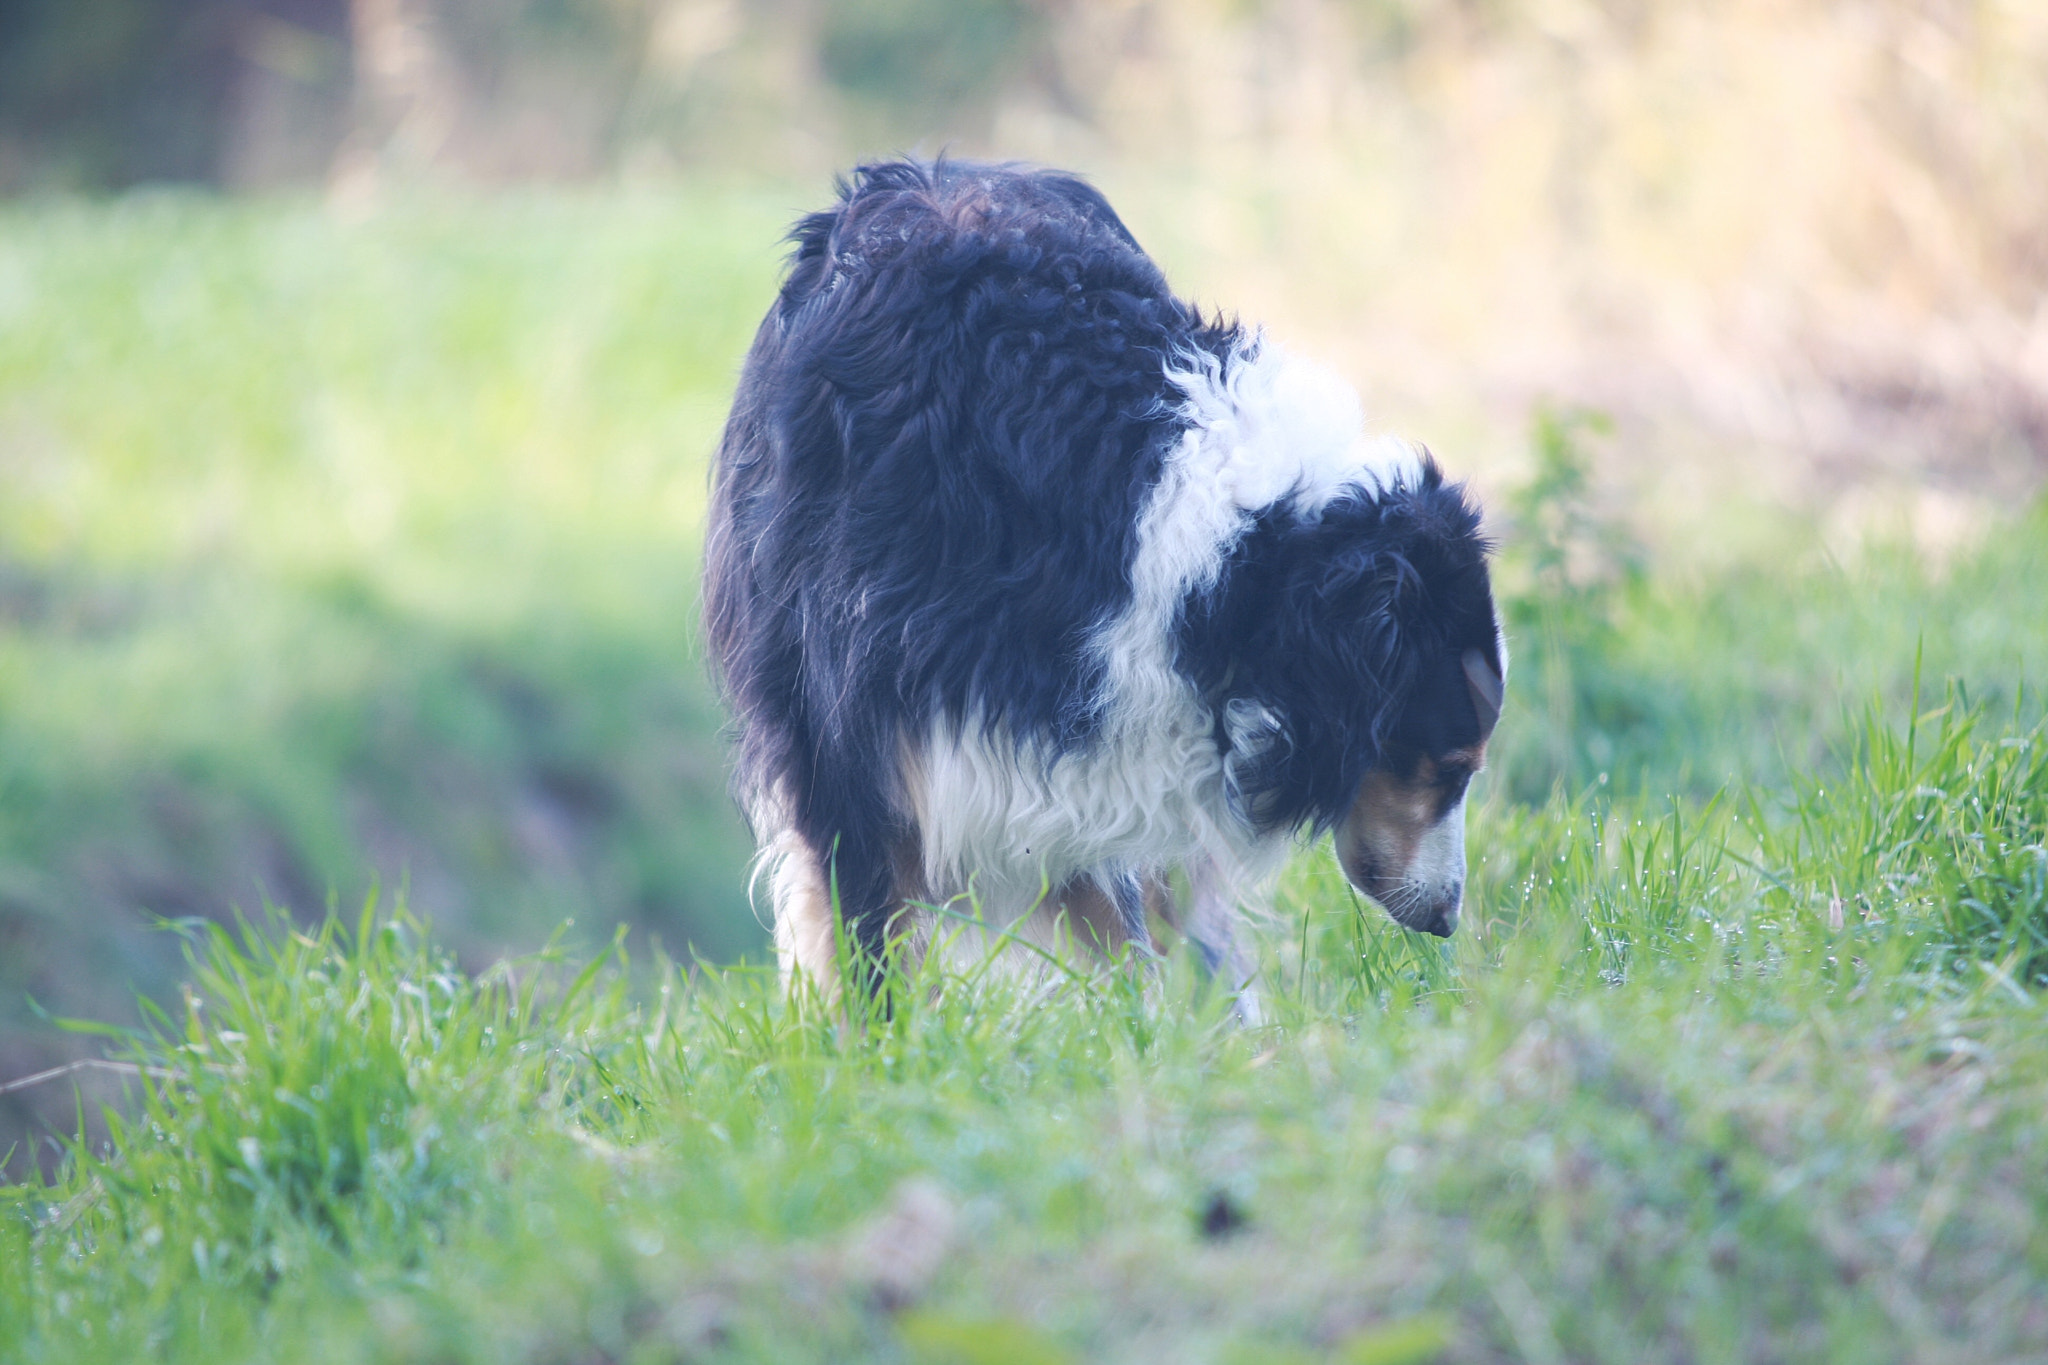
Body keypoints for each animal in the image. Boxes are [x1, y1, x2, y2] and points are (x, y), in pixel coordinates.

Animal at [704, 160, 1507, 1015]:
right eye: (1450, 766)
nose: (1447, 917)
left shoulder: (1095, 721)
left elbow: (1131, 900)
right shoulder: (854, 700)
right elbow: (862, 907)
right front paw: (879, 1038)